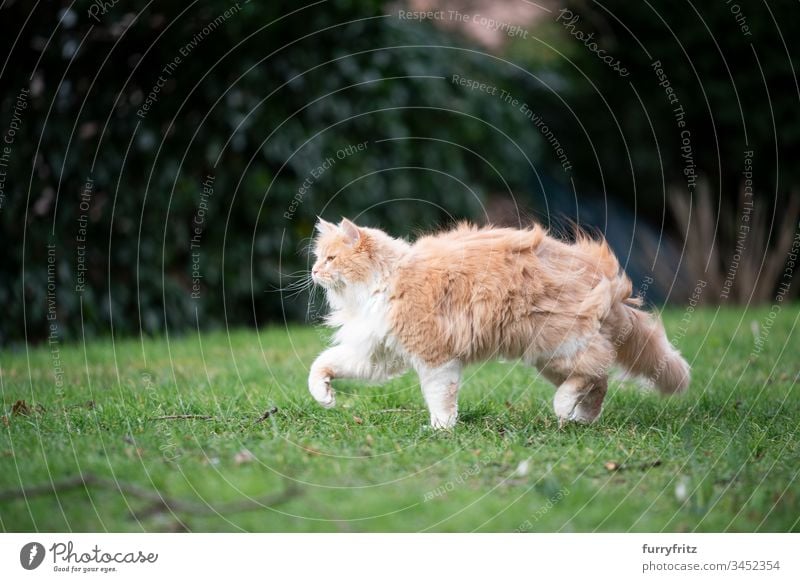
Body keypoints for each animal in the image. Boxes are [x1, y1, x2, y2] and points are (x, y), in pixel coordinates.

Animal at [306, 218, 688, 428]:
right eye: (319, 258)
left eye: (331, 258)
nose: (313, 271)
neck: (381, 283)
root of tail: (606, 279)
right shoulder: (375, 354)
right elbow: (322, 366)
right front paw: (324, 397)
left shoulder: (435, 356)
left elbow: (439, 398)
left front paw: (441, 429)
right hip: (548, 358)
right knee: (599, 379)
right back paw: (579, 418)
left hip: (559, 345)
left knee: (596, 368)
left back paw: (564, 407)